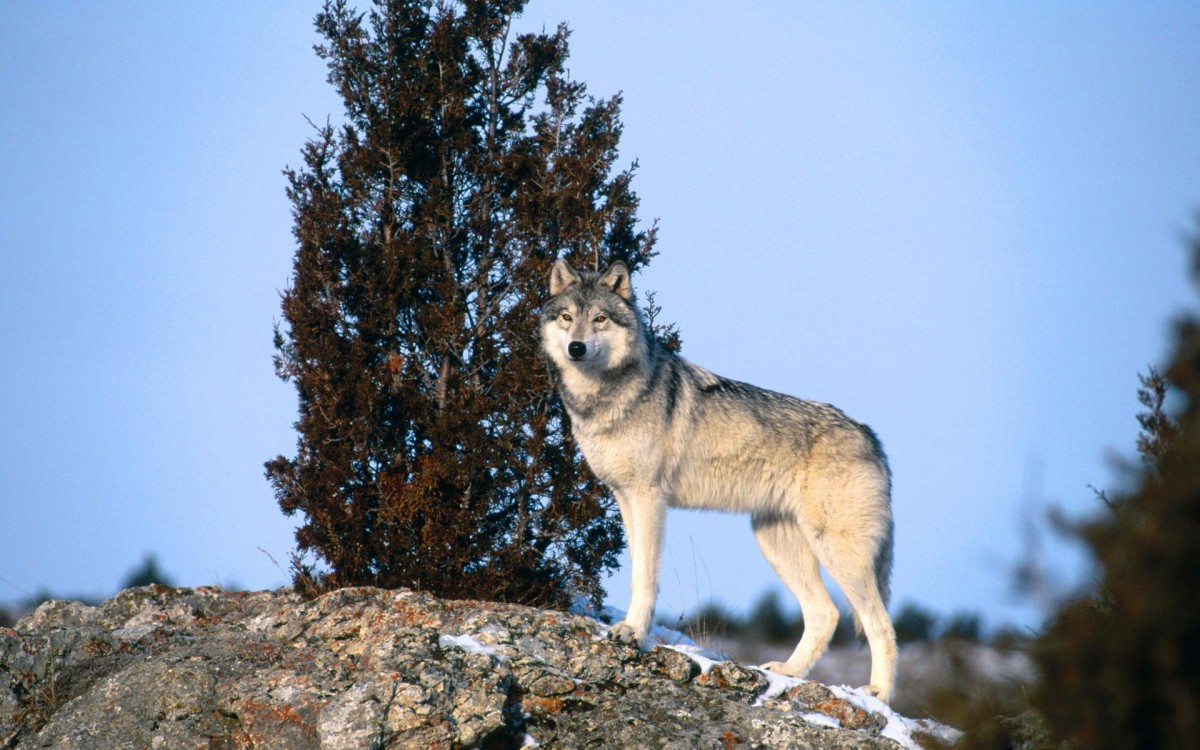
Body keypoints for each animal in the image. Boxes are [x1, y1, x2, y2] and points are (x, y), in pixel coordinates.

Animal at [540, 259, 897, 700]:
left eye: (600, 319)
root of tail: (871, 436)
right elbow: (637, 570)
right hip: (774, 542)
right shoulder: (625, 498)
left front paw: (633, 634)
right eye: (567, 317)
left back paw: (879, 694)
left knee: (880, 623)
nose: (576, 348)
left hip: (836, 551)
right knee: (825, 613)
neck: (605, 397)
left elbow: (645, 578)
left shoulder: (649, 498)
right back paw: (788, 672)